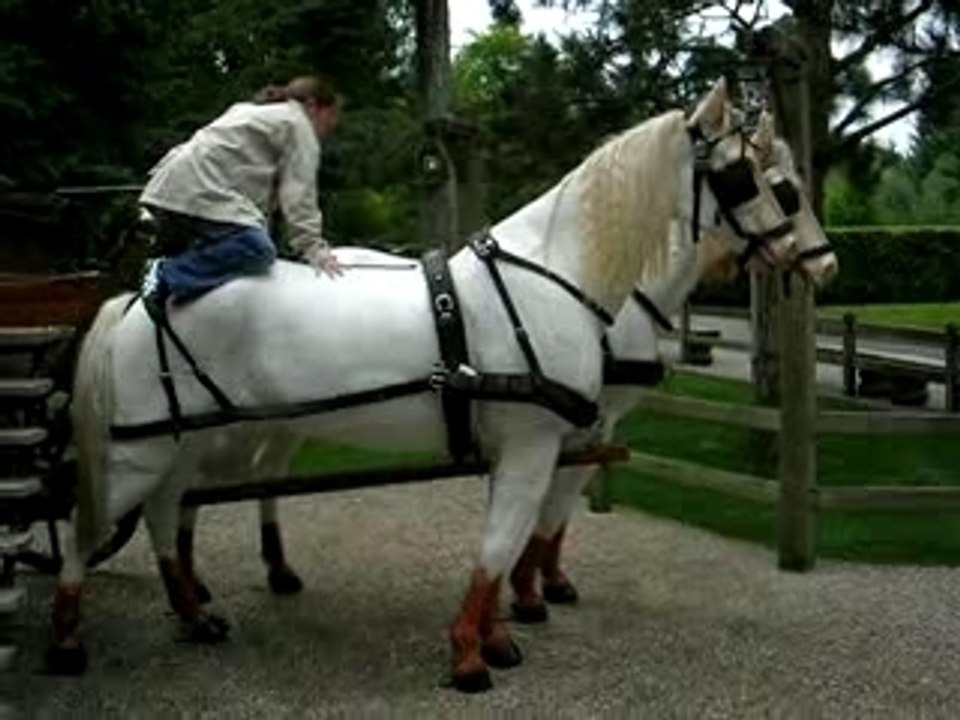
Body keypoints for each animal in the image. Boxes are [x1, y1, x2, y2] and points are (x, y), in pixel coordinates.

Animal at [51, 79, 803, 692]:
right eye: (746, 175)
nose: (804, 256)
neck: (551, 277)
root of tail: (139, 299)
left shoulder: (525, 449)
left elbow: (506, 544)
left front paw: (497, 637)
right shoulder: (533, 444)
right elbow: (501, 545)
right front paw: (469, 657)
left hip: (183, 440)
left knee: (165, 511)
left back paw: (193, 613)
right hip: (141, 448)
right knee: (94, 524)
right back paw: (68, 637)